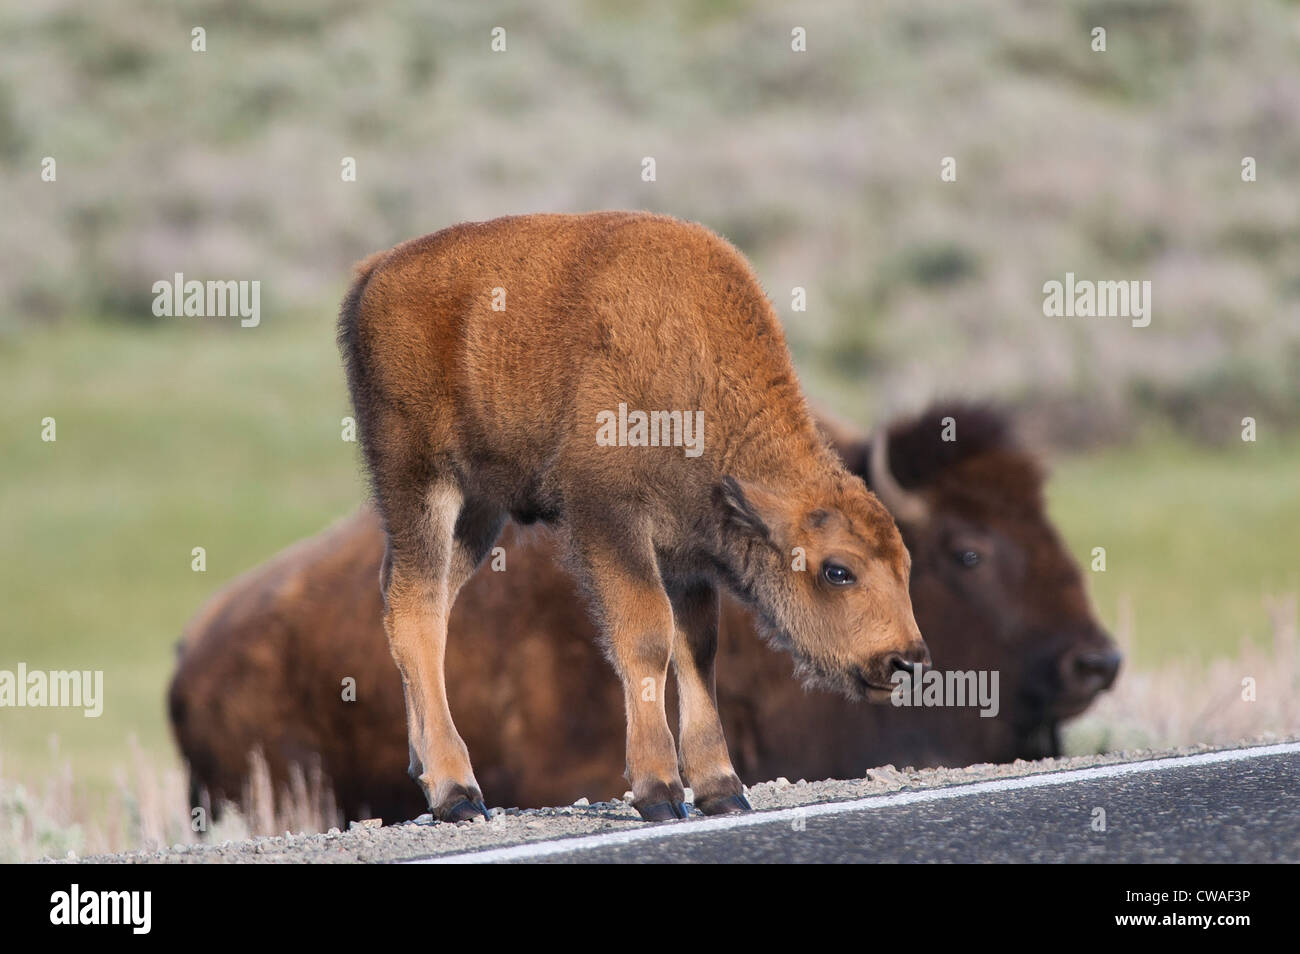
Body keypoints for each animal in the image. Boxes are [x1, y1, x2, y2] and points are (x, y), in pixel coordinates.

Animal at [335, 213, 925, 826]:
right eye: (838, 571)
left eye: (905, 565)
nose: (906, 661)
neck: (696, 373)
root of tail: (375, 273)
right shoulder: (609, 520)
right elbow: (646, 638)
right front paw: (660, 791)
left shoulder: (686, 554)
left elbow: (698, 651)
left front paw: (722, 789)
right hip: (422, 483)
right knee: (415, 610)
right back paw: (458, 793)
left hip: (477, 513)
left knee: (422, 603)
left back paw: (427, 771)